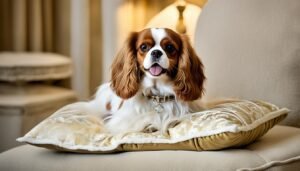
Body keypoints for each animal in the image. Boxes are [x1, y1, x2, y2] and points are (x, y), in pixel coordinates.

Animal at [72, 27, 206, 135]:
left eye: (169, 47)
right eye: (143, 47)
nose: (156, 52)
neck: (157, 95)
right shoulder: (120, 122)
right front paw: (149, 126)